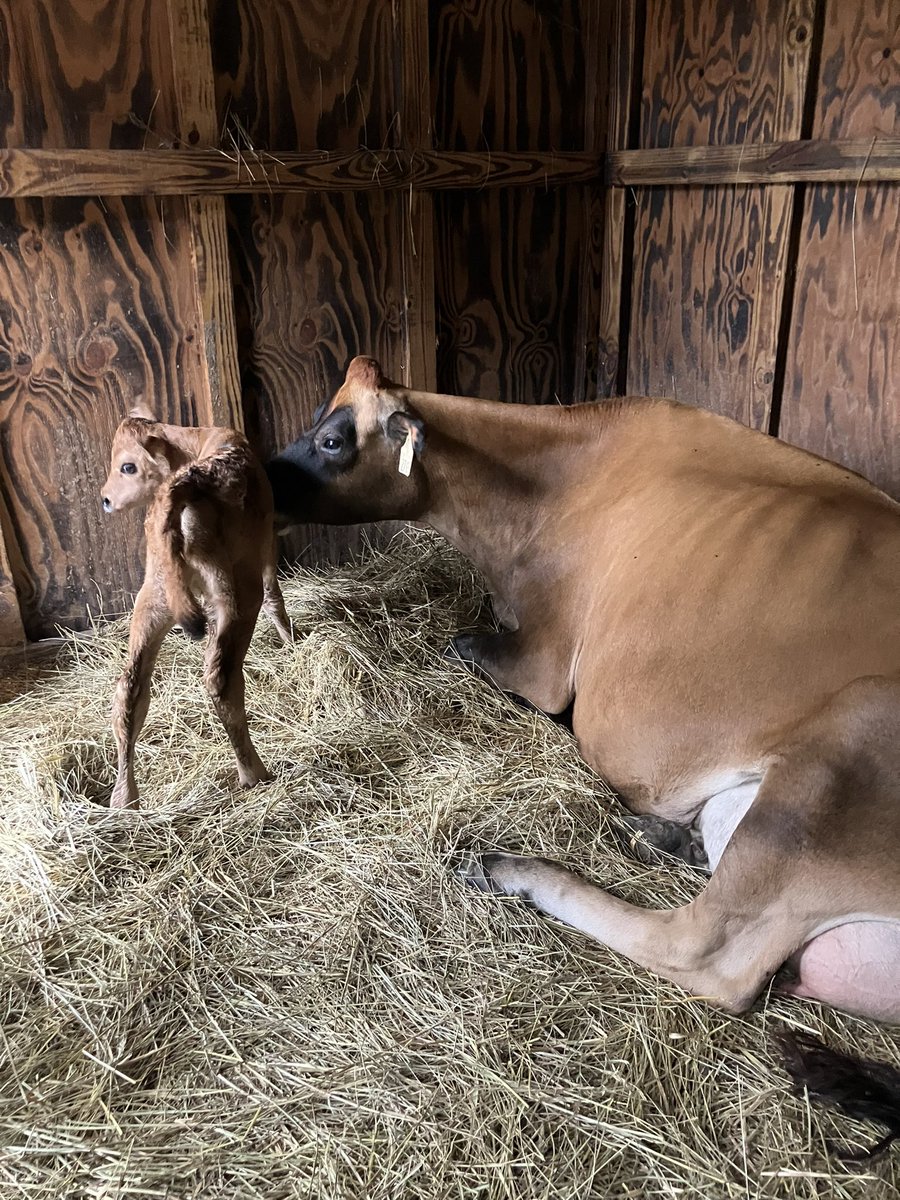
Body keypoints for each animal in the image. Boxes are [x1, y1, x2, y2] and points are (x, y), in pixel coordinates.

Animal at [101, 413, 293, 808]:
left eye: (127, 466)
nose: (106, 499)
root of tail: (183, 487)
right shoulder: (265, 545)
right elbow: (274, 590)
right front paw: (290, 640)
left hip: (154, 599)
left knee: (129, 689)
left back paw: (124, 799)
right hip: (234, 594)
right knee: (221, 678)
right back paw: (254, 773)